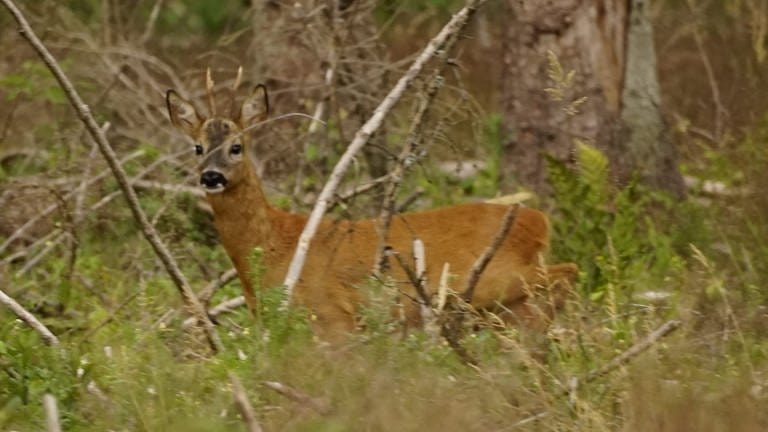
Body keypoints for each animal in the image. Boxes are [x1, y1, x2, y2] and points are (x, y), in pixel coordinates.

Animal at [166, 79, 576, 340]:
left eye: (236, 147)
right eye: (197, 148)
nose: (211, 176)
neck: (275, 249)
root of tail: (538, 221)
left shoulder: (332, 312)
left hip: (495, 278)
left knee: (567, 272)